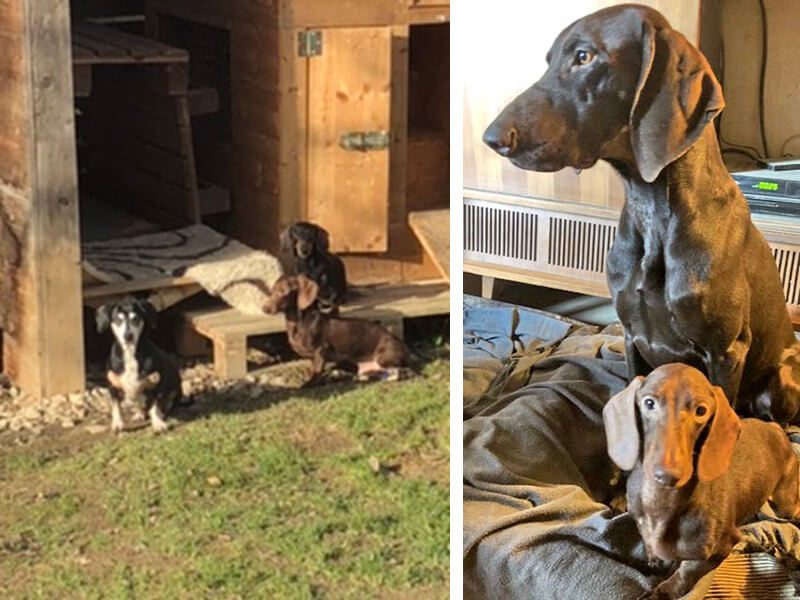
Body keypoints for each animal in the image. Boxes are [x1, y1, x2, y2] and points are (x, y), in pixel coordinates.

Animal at [95, 299, 182, 433]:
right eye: (118, 320)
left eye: (135, 319)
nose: (128, 335)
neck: (130, 353)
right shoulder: (112, 387)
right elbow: (116, 406)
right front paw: (117, 424)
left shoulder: (155, 384)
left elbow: (154, 405)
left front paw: (158, 423)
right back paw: (139, 413)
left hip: (174, 388)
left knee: (166, 402)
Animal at [263, 275, 408, 385]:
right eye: (272, 290)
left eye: (284, 291)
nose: (264, 308)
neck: (298, 323)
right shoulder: (312, 357)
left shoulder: (321, 351)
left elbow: (316, 372)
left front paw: (308, 384)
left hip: (383, 358)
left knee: (400, 372)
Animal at [483, 4, 800, 423]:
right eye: (549, 61)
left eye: (583, 56)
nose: (492, 138)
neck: (653, 211)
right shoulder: (632, 335)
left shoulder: (725, 350)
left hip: (779, 381)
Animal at [603, 363, 800, 599]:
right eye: (649, 403)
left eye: (701, 410)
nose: (668, 475)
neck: (661, 503)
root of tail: (776, 428)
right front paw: (655, 559)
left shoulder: (718, 550)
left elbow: (683, 576)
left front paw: (661, 592)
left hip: (784, 505)